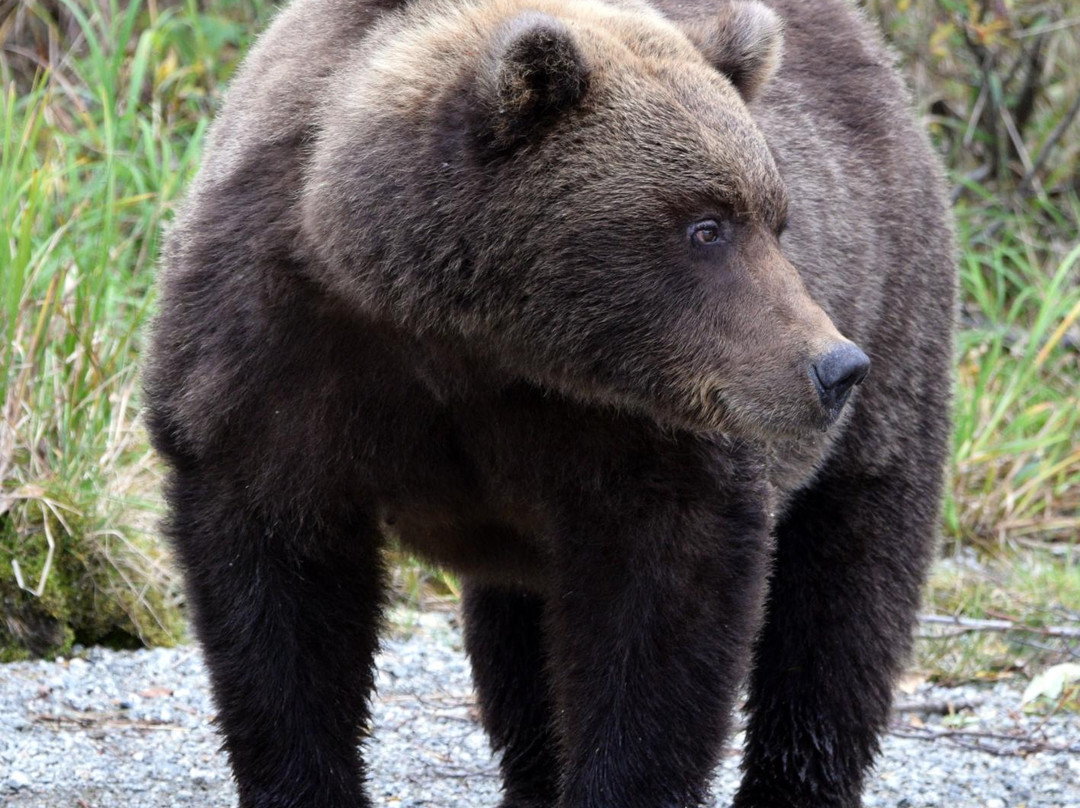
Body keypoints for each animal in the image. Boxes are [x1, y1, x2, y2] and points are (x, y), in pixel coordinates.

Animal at [143, 0, 956, 805]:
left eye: (776, 221)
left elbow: (657, 619)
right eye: (706, 226)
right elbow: (280, 596)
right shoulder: (276, 356)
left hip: (894, 339)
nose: (834, 366)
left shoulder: (638, 432)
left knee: (844, 600)